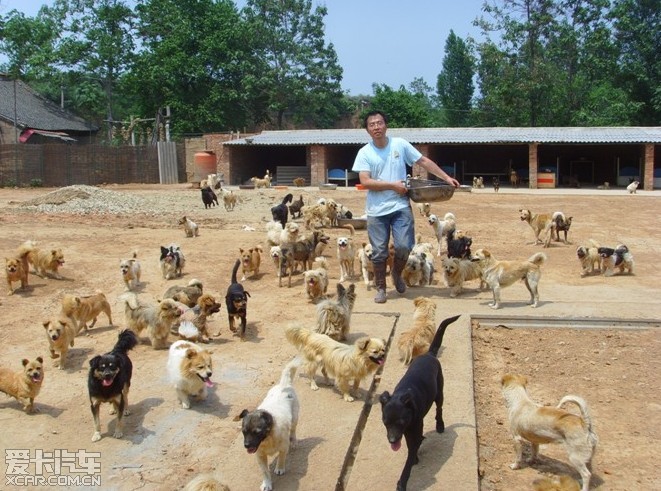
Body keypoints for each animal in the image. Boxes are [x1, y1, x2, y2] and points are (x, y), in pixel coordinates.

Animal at [237, 360, 300, 491]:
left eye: (257, 432)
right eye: (244, 432)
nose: (246, 446)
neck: (269, 437)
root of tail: (283, 385)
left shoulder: (283, 448)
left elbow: (281, 458)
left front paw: (280, 468)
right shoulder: (260, 456)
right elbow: (265, 472)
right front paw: (266, 484)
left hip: (295, 418)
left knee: (293, 430)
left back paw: (294, 441)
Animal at [378, 316, 462, 491]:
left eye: (401, 422)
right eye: (385, 422)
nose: (392, 441)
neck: (402, 395)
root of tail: (429, 354)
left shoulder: (413, 429)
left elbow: (410, 457)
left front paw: (402, 482)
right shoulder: (406, 431)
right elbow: (410, 446)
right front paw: (415, 457)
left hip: (439, 393)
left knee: (439, 409)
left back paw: (440, 425)